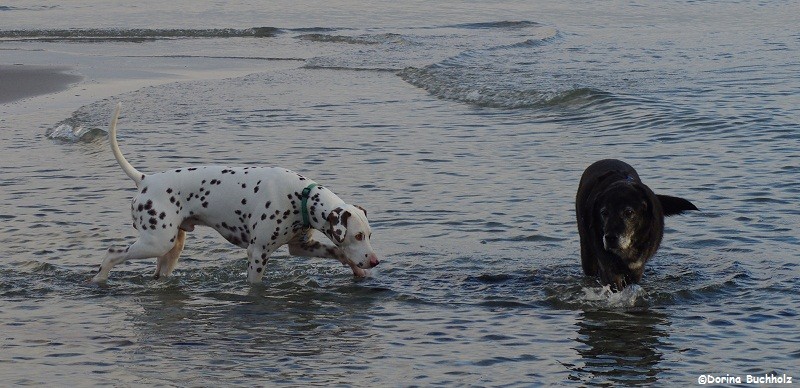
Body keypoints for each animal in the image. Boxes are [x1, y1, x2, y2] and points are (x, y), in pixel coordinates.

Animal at [92, 104, 380, 284]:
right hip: (156, 242)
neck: (300, 197)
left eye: (369, 235)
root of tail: (145, 179)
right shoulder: (258, 253)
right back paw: (99, 278)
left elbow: (338, 252)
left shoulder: (302, 247)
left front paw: (356, 269)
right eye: (357, 235)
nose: (375, 261)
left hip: (172, 248)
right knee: (112, 253)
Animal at [576, 159, 700, 290]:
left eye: (629, 212)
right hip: (587, 254)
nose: (610, 238)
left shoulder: (637, 269)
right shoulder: (608, 267)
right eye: (604, 213)